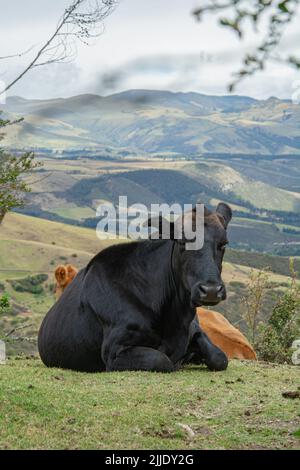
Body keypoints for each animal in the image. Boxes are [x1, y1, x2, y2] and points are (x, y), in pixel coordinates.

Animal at [38, 204, 232, 372]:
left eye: (223, 244)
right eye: (182, 242)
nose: (211, 290)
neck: (175, 318)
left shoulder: (195, 329)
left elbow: (220, 358)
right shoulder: (114, 351)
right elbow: (162, 360)